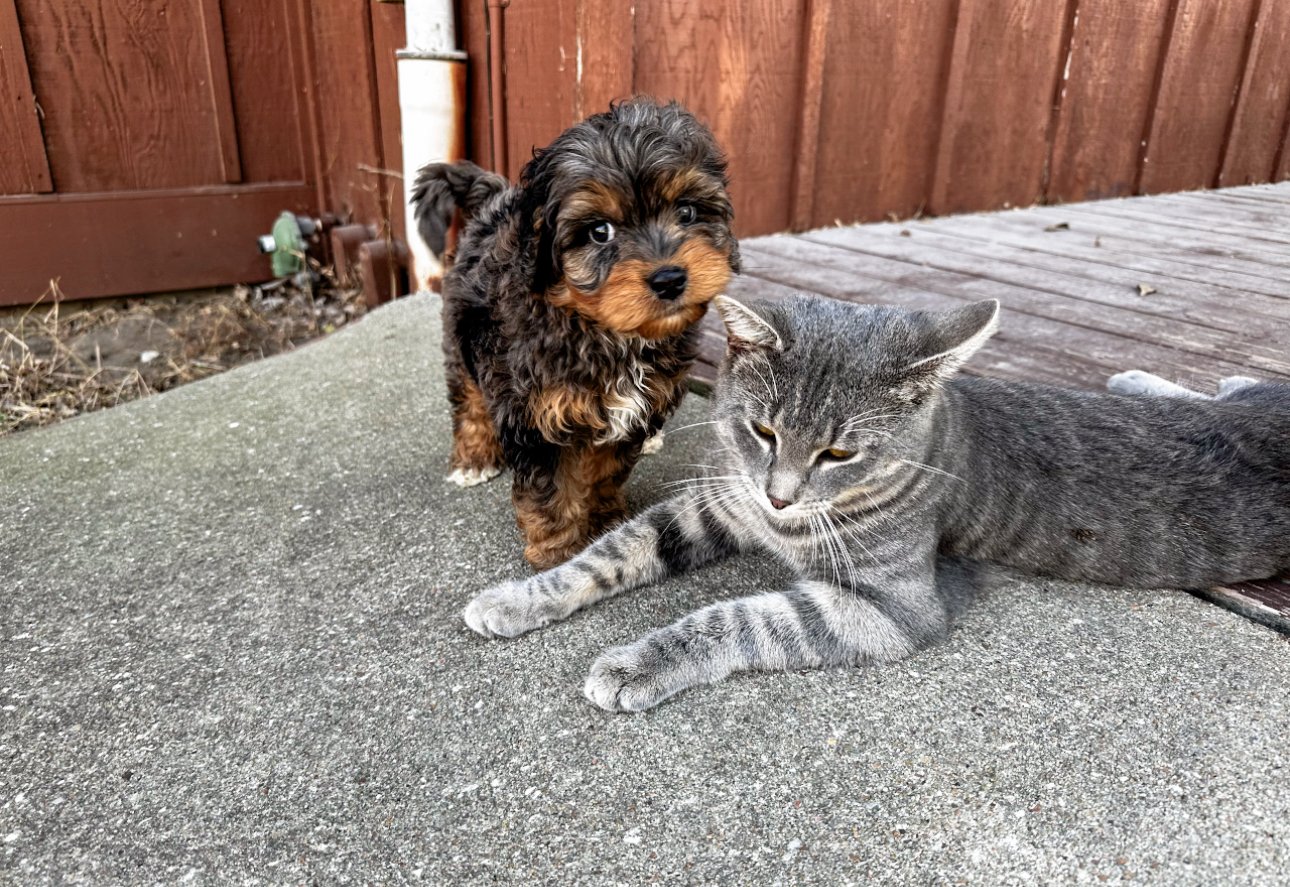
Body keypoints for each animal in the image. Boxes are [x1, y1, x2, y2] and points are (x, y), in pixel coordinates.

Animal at [412, 96, 737, 567]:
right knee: (469, 399)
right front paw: (558, 551)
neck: (607, 331)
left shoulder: (628, 414)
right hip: (462, 336)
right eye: (599, 231)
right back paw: (473, 457)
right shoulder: (536, 417)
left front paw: (601, 521)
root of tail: (495, 202)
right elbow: (551, 491)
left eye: (688, 211)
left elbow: (604, 469)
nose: (670, 279)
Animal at [464, 293, 1290, 711]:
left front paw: (638, 661)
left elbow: (735, 617)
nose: (780, 497)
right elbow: (611, 550)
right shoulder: (718, 503)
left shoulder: (889, 606)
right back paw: (1138, 378)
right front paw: (519, 596)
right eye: (763, 430)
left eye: (839, 453)